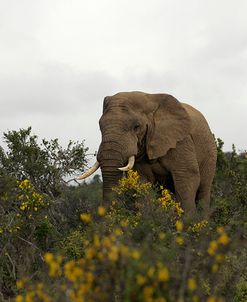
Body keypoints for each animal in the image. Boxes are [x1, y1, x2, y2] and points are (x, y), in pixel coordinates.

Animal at [79, 91, 216, 216]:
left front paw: (188, 223)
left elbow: (187, 176)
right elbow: (142, 181)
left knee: (203, 190)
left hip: (210, 155)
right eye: (100, 126)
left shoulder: (182, 141)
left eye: (136, 126)